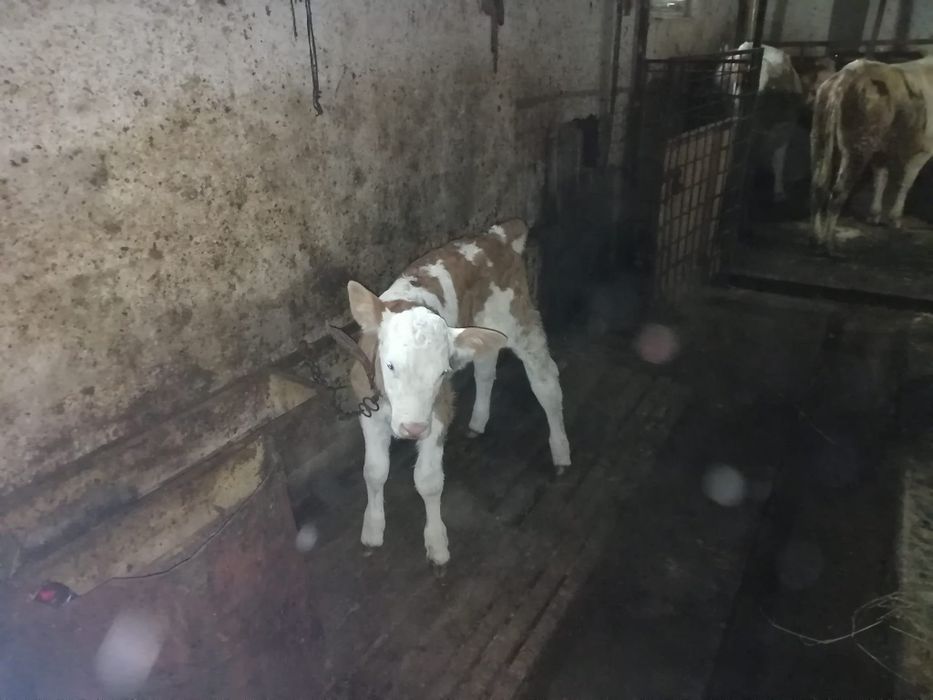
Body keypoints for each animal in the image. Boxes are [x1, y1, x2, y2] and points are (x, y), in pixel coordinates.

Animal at [344, 220, 571, 566]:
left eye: (442, 372)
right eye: (390, 364)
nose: (413, 429)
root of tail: (496, 235)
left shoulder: (439, 408)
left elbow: (428, 480)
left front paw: (437, 544)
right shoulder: (367, 406)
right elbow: (374, 471)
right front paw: (372, 530)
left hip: (519, 318)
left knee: (546, 382)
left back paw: (560, 451)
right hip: (486, 331)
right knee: (486, 369)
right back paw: (478, 421)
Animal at [811, 56, 933, 254]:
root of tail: (846, 76)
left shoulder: (880, 152)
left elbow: (880, 180)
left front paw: (874, 215)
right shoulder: (922, 150)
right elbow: (905, 183)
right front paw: (895, 218)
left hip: (819, 137)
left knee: (818, 186)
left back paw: (816, 238)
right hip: (858, 147)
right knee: (837, 192)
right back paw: (830, 246)